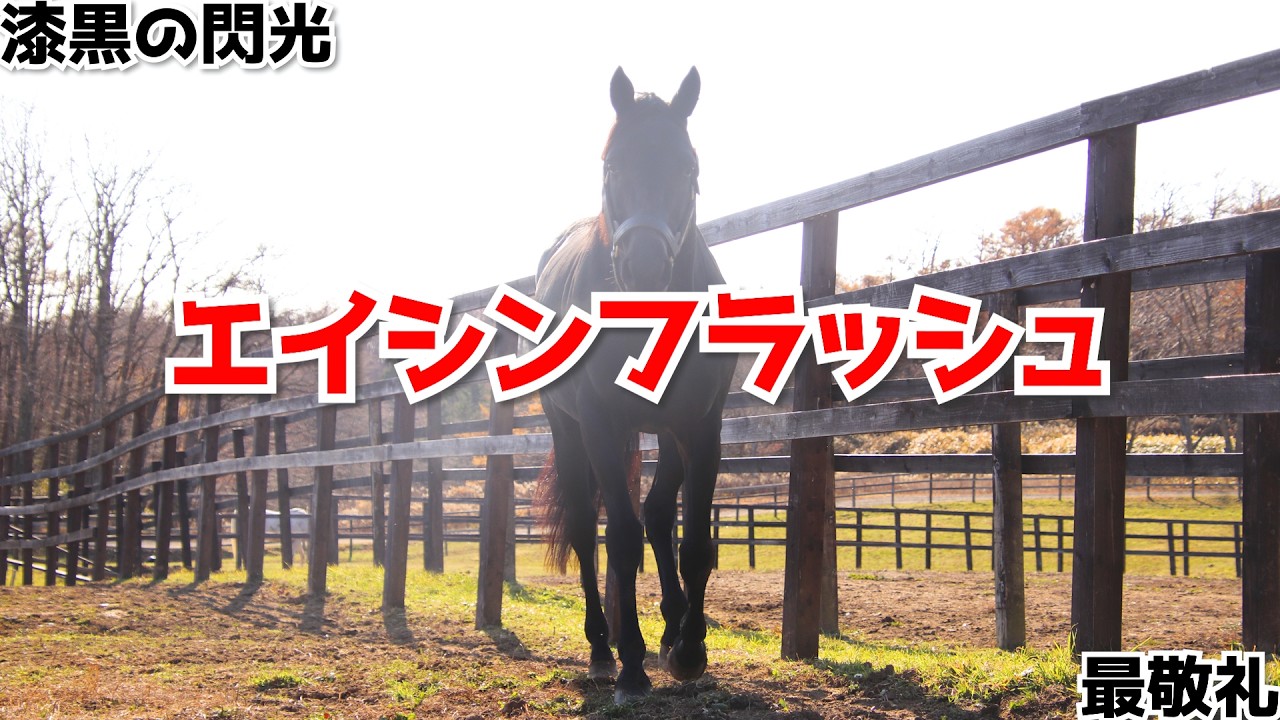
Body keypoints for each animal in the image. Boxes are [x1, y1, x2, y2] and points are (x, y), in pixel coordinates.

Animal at [533, 66, 735, 702]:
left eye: (688, 168)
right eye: (612, 166)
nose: (644, 267)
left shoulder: (701, 424)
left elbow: (691, 542)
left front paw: (689, 650)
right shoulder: (601, 424)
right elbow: (617, 538)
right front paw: (631, 666)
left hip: (665, 433)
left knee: (656, 514)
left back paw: (668, 633)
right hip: (567, 430)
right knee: (585, 527)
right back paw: (605, 649)